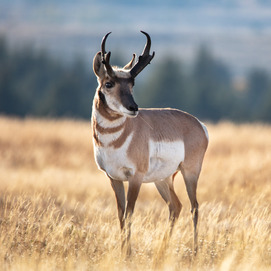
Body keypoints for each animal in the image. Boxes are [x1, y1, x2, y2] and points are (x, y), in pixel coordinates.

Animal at [92, 31, 209, 255]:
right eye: (109, 83)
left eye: (132, 84)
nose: (133, 108)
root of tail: (198, 123)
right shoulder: (113, 178)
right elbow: (120, 215)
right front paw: (123, 251)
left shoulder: (135, 177)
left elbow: (129, 213)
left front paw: (128, 254)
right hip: (162, 179)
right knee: (176, 206)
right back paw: (162, 250)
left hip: (189, 172)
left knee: (194, 207)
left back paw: (195, 251)